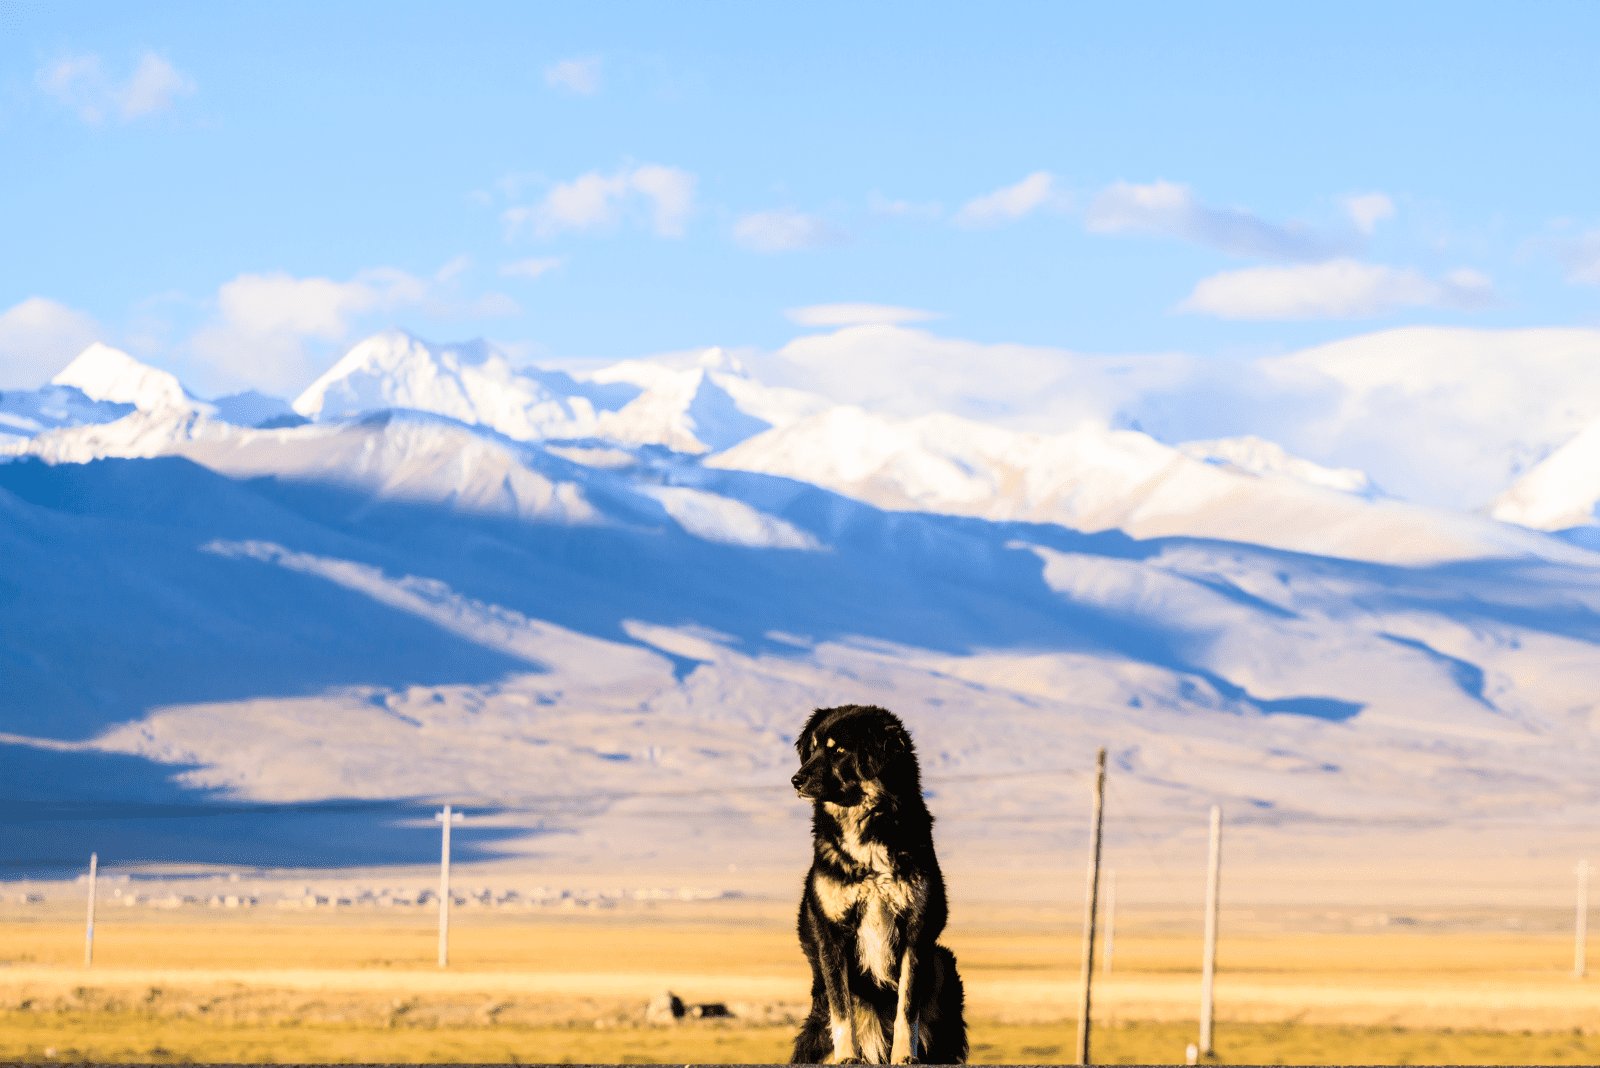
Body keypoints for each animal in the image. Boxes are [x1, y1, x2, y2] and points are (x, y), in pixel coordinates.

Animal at [784, 703, 960, 1061]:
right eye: (813, 749)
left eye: (838, 750)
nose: (796, 779)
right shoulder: (832, 933)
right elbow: (842, 1009)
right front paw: (846, 1057)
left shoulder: (916, 929)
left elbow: (907, 1007)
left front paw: (904, 1057)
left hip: (942, 963)